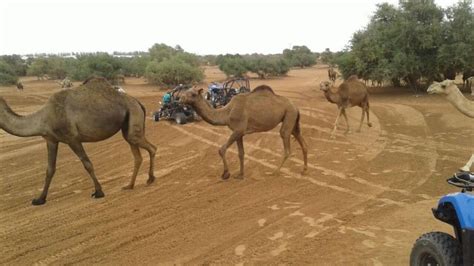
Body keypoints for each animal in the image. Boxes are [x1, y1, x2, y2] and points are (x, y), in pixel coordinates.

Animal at [0, 77, 156, 206]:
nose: (39, 199)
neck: (44, 117)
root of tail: (138, 102)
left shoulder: (72, 138)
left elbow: (87, 164)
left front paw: (98, 192)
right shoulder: (51, 140)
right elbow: (50, 169)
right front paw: (39, 199)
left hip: (133, 116)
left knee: (152, 148)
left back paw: (150, 179)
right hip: (128, 126)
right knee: (137, 155)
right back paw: (130, 185)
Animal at [180, 85, 310, 180]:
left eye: (193, 94)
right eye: (185, 91)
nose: (181, 99)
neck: (227, 113)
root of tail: (296, 106)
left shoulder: (238, 129)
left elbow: (222, 149)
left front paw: (226, 174)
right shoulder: (239, 133)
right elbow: (241, 153)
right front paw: (240, 175)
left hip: (289, 114)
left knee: (286, 143)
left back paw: (275, 172)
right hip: (292, 119)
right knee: (302, 142)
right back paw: (304, 170)